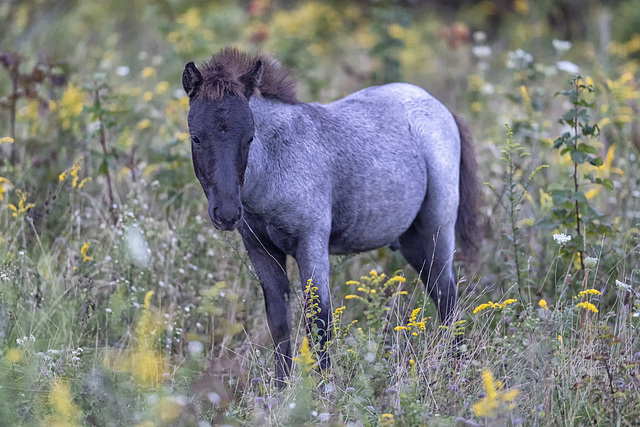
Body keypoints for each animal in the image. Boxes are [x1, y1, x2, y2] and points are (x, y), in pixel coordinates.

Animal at [182, 48, 478, 386]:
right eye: (196, 138)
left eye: (249, 138)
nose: (228, 213)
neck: (274, 170)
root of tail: (439, 107)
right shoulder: (261, 250)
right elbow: (279, 323)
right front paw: (281, 390)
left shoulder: (311, 243)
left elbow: (319, 321)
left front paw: (324, 391)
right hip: (412, 241)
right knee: (441, 294)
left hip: (438, 228)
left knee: (448, 297)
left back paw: (454, 372)